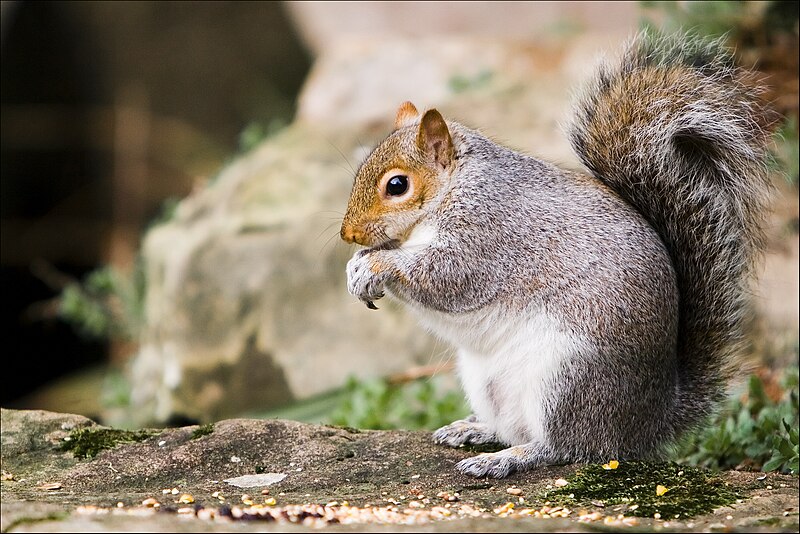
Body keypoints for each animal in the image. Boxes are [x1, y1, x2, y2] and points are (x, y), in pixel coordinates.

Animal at [338, 31, 776, 480]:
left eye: (397, 185)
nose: (347, 234)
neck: (452, 191)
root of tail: (646, 423)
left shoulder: (489, 235)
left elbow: (448, 277)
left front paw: (376, 266)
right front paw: (356, 268)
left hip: (567, 380)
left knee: (566, 446)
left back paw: (509, 458)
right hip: (489, 384)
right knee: (512, 428)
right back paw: (474, 431)